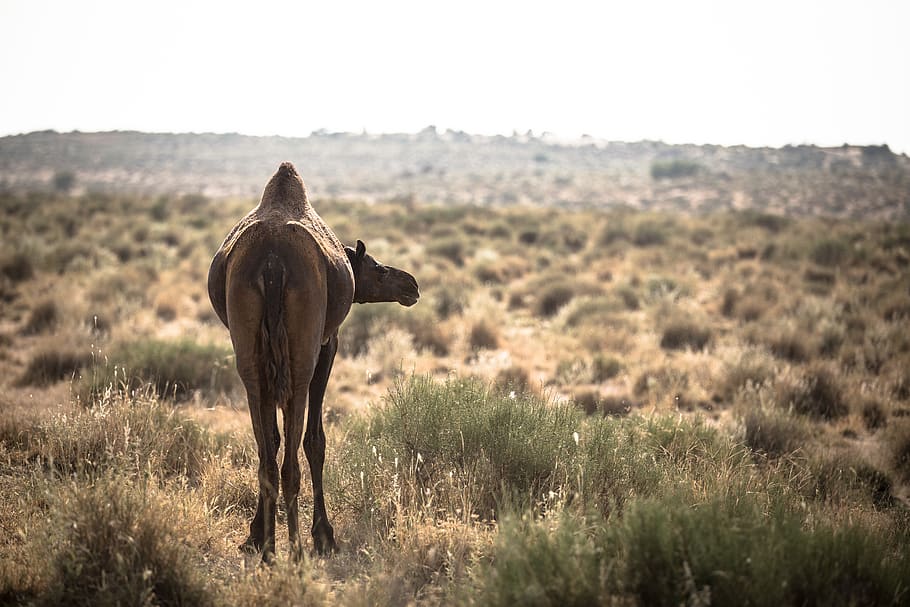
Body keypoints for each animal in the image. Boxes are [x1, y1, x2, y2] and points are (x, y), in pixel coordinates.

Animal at [207, 162, 419, 560]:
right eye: (379, 269)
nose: (411, 286)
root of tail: (272, 262)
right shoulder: (327, 344)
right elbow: (315, 440)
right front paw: (324, 535)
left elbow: (272, 441)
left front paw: (255, 534)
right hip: (301, 357)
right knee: (291, 460)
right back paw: (296, 551)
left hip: (250, 359)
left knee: (267, 457)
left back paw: (269, 550)